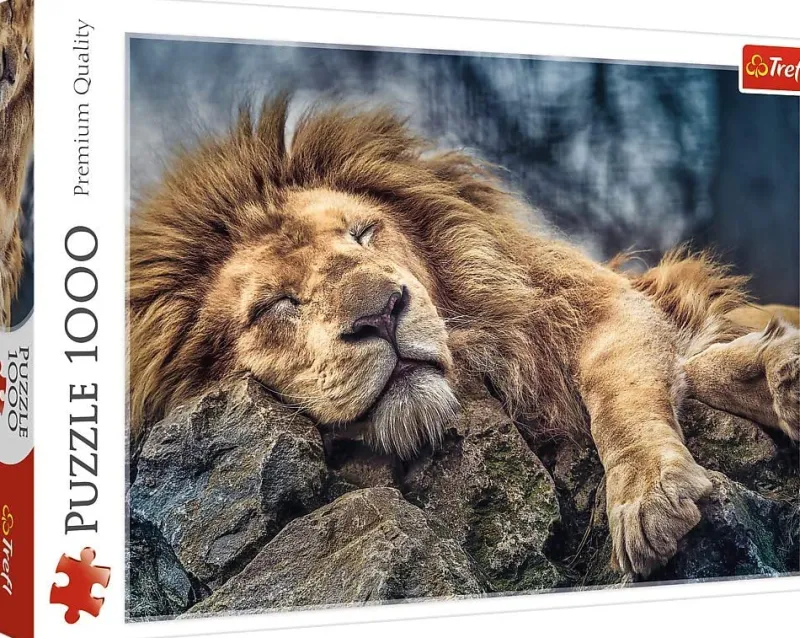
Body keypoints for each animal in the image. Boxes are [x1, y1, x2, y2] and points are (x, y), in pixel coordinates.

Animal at [129, 96, 799, 579]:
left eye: (364, 234)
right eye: (276, 304)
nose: (381, 313)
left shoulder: (597, 304)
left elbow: (622, 397)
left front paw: (649, 494)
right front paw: (770, 373)